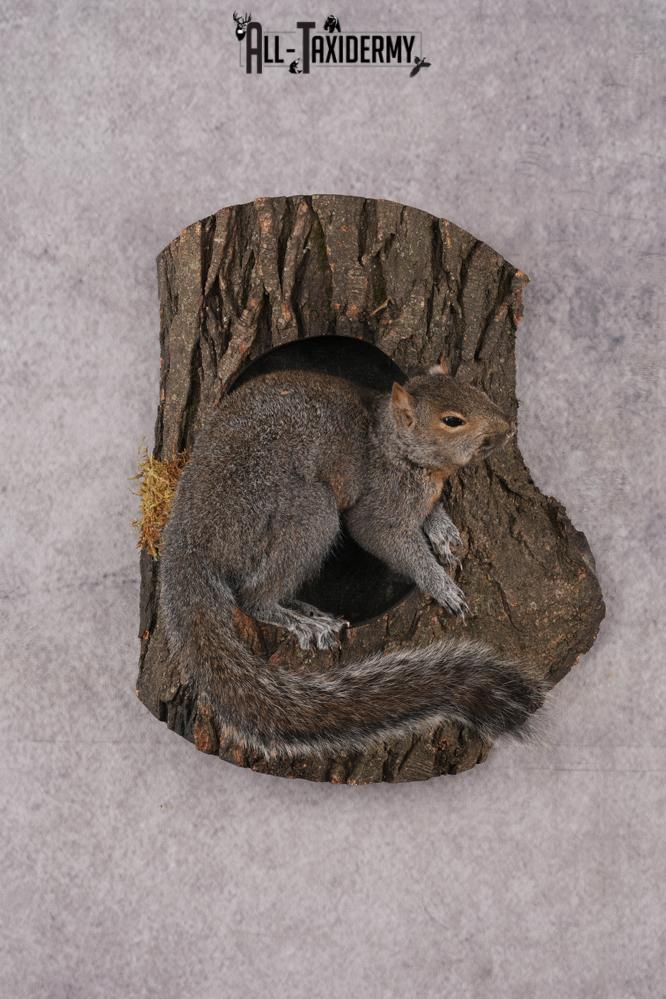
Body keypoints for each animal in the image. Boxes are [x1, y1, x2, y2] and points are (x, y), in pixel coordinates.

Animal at [159, 359, 546, 759]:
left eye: (477, 391)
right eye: (452, 420)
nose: (508, 427)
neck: (393, 444)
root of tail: (190, 537)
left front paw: (441, 528)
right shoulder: (379, 505)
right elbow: (385, 537)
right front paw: (442, 586)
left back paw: (308, 611)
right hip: (306, 515)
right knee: (253, 598)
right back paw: (301, 622)